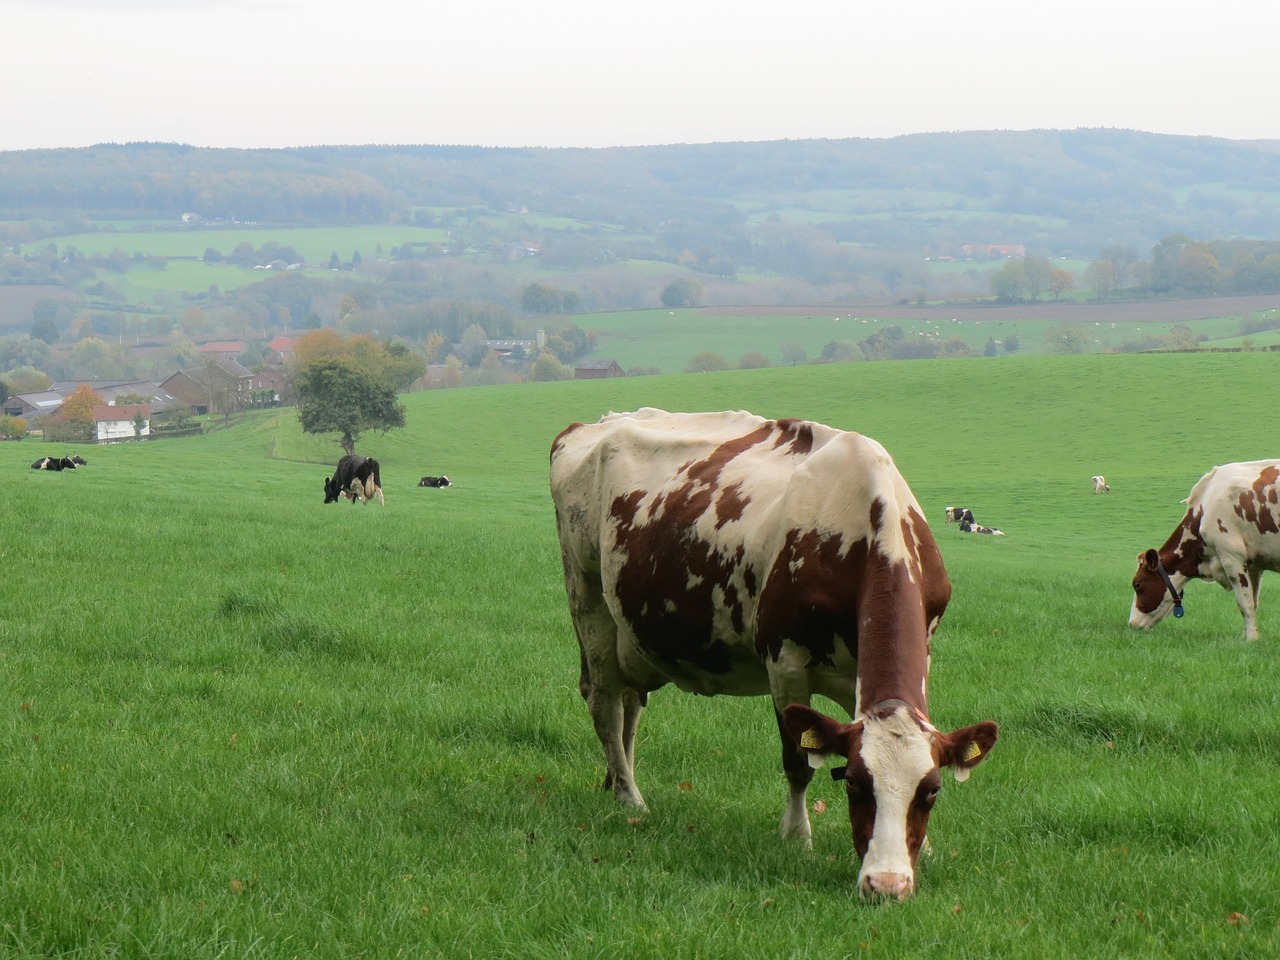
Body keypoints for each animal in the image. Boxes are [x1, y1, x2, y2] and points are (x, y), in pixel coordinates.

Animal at [550, 407, 998, 901]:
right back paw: (631, 797)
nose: (886, 885)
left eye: (932, 790)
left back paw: (616, 781)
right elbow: (798, 763)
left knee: (630, 705)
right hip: (588, 598)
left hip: (632, 635)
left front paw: (929, 848)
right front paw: (796, 837)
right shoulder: (785, 663)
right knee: (605, 704)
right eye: (854, 784)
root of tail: (594, 423)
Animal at [1131, 460, 1280, 642]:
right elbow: (1253, 601)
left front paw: (1251, 641)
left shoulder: (1231, 557)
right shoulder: (1254, 564)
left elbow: (1244, 604)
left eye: (1137, 585)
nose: (1131, 624)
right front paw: (1246, 637)